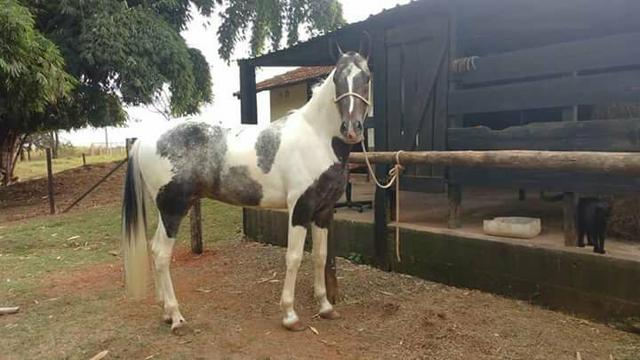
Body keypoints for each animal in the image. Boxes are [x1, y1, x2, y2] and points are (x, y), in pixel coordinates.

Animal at [121, 43, 370, 332]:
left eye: (366, 78)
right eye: (338, 79)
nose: (351, 129)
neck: (317, 138)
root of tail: (145, 138)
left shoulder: (323, 210)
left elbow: (320, 255)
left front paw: (326, 307)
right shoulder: (300, 208)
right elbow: (294, 257)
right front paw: (290, 315)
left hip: (168, 209)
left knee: (154, 249)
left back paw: (165, 312)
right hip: (173, 208)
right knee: (162, 254)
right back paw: (176, 317)